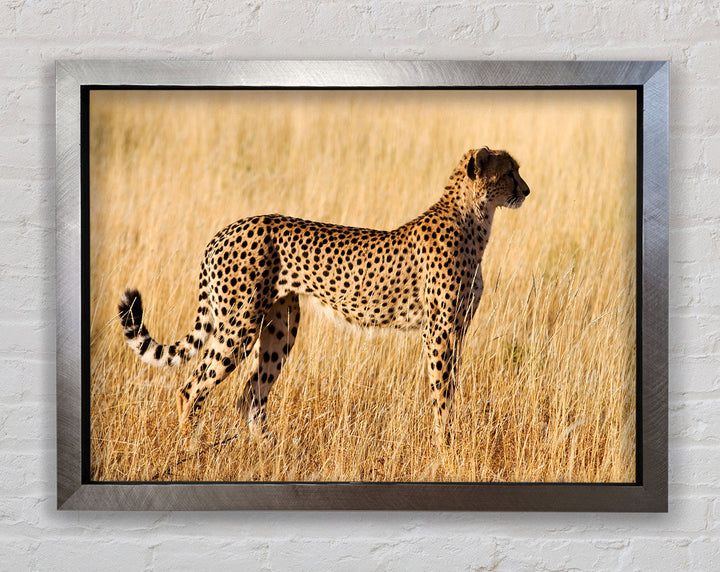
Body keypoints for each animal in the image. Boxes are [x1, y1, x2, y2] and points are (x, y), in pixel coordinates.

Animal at [118, 147, 530, 445]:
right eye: (509, 172)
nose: (526, 191)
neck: (474, 219)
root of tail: (226, 229)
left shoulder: (456, 330)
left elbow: (450, 387)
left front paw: (449, 441)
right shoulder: (439, 331)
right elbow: (442, 392)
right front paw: (446, 446)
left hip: (280, 326)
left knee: (250, 394)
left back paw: (269, 450)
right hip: (239, 325)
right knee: (192, 388)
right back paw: (189, 447)